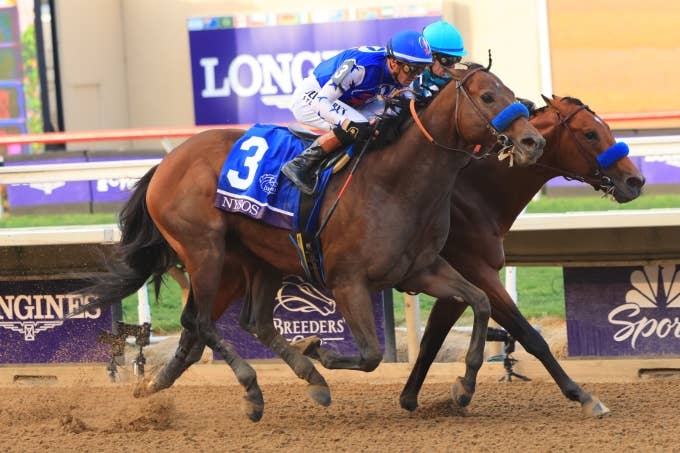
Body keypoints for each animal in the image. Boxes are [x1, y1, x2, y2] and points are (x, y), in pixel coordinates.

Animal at [80, 63, 545, 421]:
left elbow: (480, 302)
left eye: (513, 94)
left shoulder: (422, 269)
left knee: (252, 322)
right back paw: (255, 390)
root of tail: (166, 162)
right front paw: (318, 349)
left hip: (260, 259)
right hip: (203, 250)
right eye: (488, 96)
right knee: (201, 321)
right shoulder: (348, 281)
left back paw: (307, 381)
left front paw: (464, 386)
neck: (395, 183)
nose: (532, 141)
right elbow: (371, 354)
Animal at [399, 94, 645, 418]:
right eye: (590, 133)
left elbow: (432, 337)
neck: (472, 194)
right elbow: (530, 336)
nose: (635, 180)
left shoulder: (457, 282)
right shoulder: (478, 270)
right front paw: (583, 395)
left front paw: (415, 396)